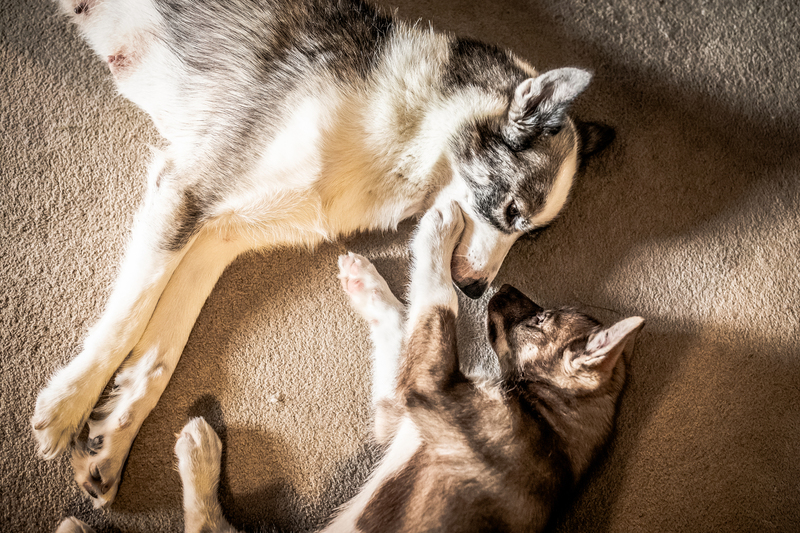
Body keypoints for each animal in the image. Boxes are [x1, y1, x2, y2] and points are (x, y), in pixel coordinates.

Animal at [34, 0, 613, 506]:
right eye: (511, 210)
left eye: (529, 235)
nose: (473, 290)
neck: (408, 124)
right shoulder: (186, 191)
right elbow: (129, 318)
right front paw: (68, 405)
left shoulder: (217, 239)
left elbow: (158, 356)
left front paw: (110, 443)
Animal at [57, 202, 642, 532]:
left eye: (539, 320)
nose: (498, 289)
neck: (548, 417)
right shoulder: (400, 408)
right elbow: (402, 318)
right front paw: (368, 284)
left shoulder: (428, 387)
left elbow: (437, 304)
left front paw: (440, 231)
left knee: (206, 526)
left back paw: (198, 455)